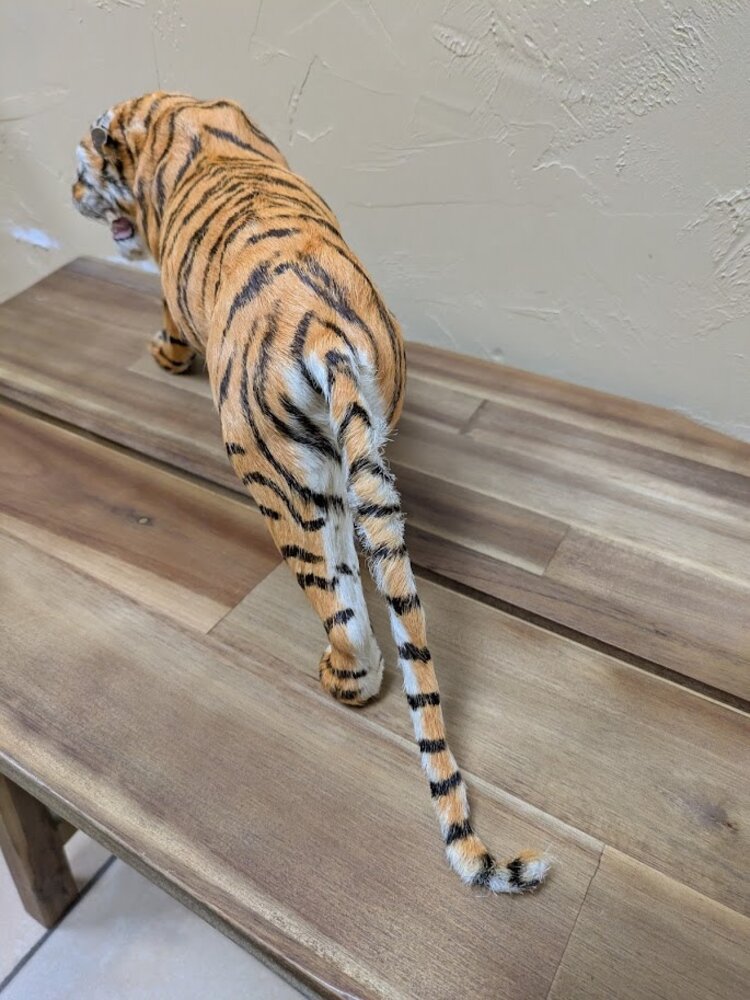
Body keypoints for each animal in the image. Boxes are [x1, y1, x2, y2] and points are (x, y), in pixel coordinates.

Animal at [71, 91, 549, 895]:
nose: (73, 194)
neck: (165, 111)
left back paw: (339, 678)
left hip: (281, 486)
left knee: (347, 617)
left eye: (82, 170)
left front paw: (162, 355)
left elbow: (165, 318)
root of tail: (322, 335)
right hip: (361, 449)